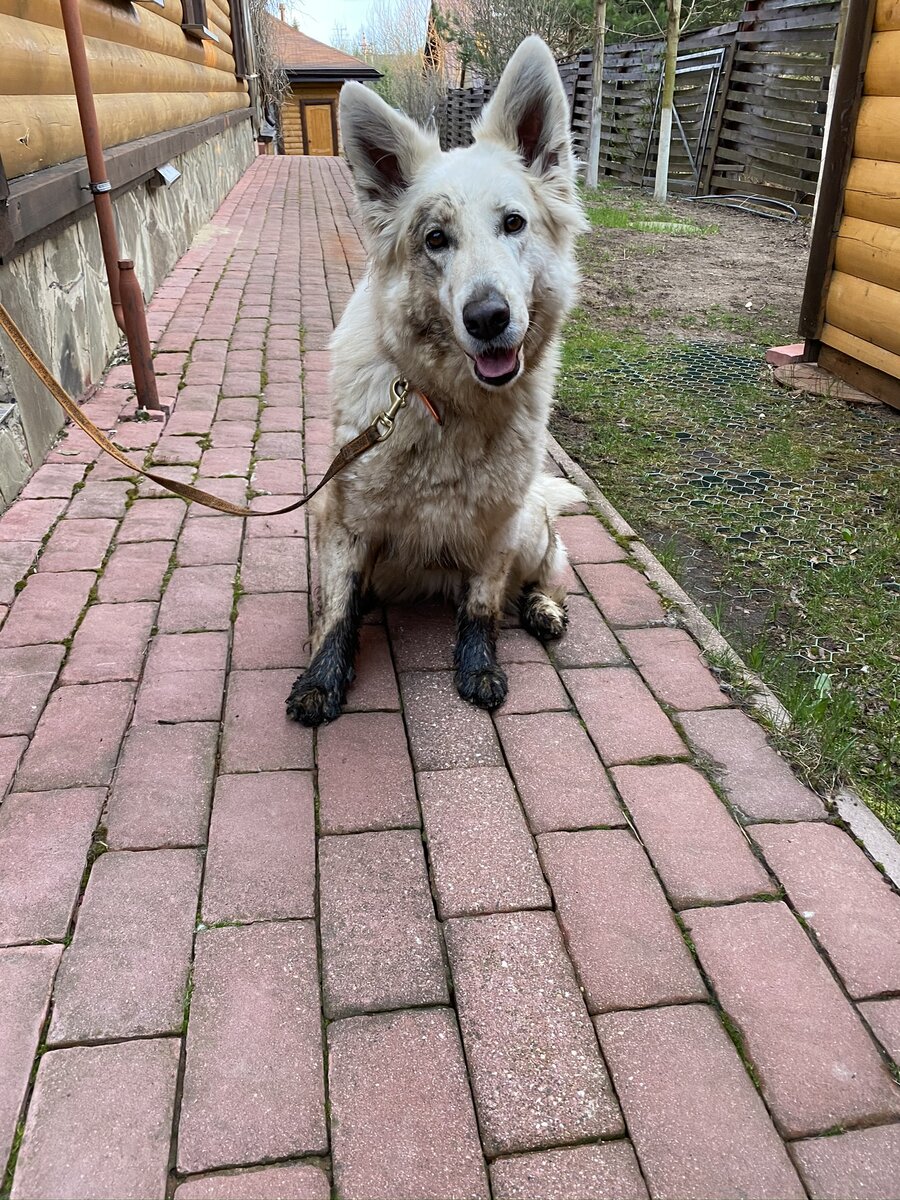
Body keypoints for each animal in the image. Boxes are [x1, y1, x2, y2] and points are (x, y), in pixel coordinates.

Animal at [286, 37, 585, 724]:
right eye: (436, 238)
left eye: (514, 223)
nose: (488, 318)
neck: (447, 403)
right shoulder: (340, 518)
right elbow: (336, 610)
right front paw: (322, 679)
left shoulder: (498, 526)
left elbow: (481, 605)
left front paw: (479, 667)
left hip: (531, 524)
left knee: (543, 572)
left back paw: (542, 607)